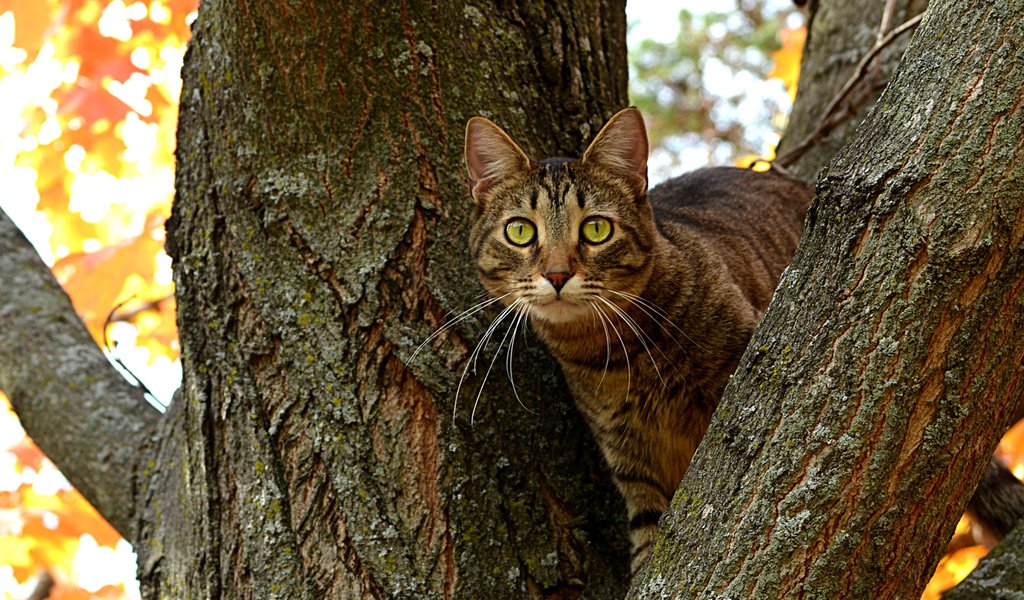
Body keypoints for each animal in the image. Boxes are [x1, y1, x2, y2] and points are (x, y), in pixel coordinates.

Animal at [462, 107, 806, 569]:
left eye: (596, 230)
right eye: (520, 231)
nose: (557, 274)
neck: (619, 353)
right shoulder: (631, 459)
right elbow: (648, 539)